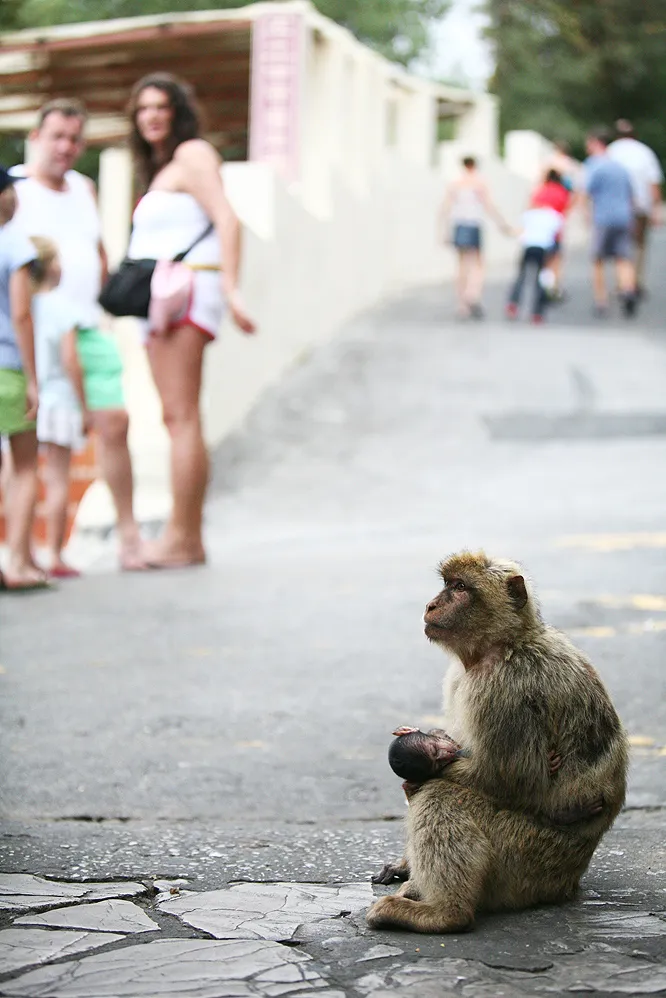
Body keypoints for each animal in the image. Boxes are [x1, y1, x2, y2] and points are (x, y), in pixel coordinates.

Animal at [366, 551, 628, 933]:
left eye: (460, 587)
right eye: (448, 584)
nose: (431, 605)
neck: (506, 644)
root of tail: (570, 880)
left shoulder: (503, 689)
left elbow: (507, 778)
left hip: (530, 860)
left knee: (441, 795)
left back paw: (444, 913)